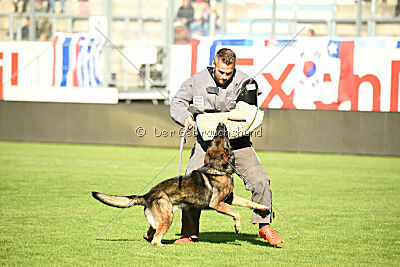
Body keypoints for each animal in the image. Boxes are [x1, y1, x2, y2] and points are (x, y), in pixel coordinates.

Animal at [92, 123, 268, 247]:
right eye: (222, 139)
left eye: (217, 139)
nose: (220, 124)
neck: (217, 167)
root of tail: (147, 195)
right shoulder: (217, 204)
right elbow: (236, 213)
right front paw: (238, 227)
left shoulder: (230, 198)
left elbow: (249, 202)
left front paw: (264, 207)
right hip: (167, 218)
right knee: (156, 240)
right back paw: (168, 245)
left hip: (161, 218)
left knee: (148, 234)